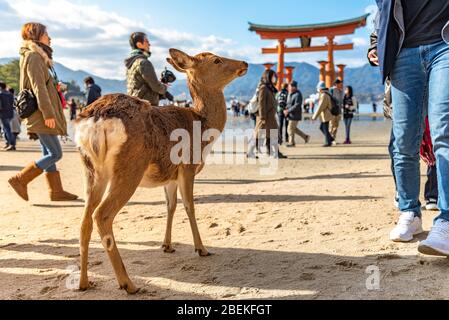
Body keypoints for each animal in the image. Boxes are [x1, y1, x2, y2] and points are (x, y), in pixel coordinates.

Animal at [74, 48, 248, 294]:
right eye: (217, 60)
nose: (245, 63)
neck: (203, 129)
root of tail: (95, 120)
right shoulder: (187, 166)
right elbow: (189, 206)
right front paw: (202, 249)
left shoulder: (170, 176)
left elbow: (171, 206)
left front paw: (166, 245)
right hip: (130, 167)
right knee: (102, 214)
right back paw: (128, 284)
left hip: (91, 170)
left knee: (84, 219)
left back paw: (84, 282)